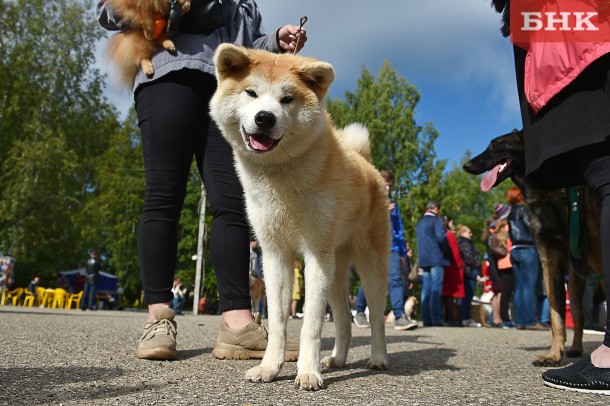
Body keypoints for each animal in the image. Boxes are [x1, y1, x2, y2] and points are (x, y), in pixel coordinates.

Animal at [209, 44, 390, 390]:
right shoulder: (275, 255)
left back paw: (378, 358)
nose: (264, 117)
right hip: (335, 269)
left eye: (287, 99)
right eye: (251, 93)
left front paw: (307, 372)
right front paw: (269, 367)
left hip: (368, 265)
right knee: (344, 320)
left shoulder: (315, 254)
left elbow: (311, 324)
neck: (279, 177)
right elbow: (279, 321)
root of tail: (366, 163)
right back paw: (337, 359)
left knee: (375, 317)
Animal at [464, 128, 600, 366]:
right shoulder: (550, 264)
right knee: (579, 314)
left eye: (496, 144)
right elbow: (556, 316)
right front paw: (554, 354)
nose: (467, 165)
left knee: (580, 314)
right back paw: (575, 348)